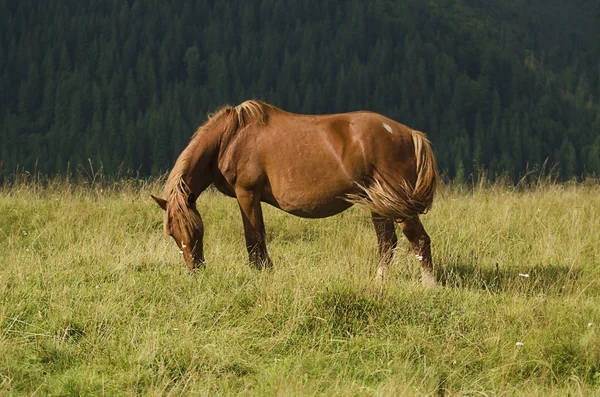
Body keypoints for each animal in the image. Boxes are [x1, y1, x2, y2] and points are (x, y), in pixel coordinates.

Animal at [151, 100, 440, 284]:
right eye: (172, 233)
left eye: (197, 231)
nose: (195, 272)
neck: (230, 138)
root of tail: (409, 133)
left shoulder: (247, 194)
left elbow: (254, 238)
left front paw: (260, 274)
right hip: (378, 204)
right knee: (387, 244)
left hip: (396, 204)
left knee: (419, 240)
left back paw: (429, 285)